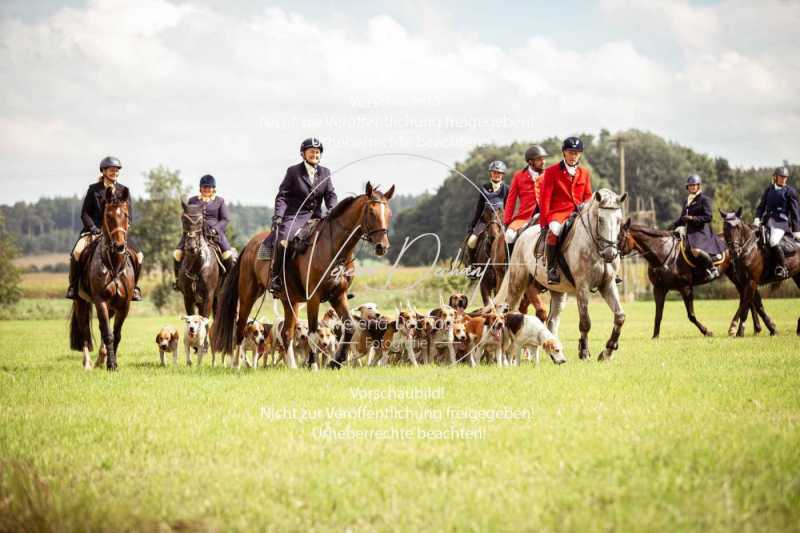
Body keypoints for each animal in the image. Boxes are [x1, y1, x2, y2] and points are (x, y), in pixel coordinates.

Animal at [70, 188, 138, 370]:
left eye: (126, 215)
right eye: (108, 216)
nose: (119, 246)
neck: (113, 264)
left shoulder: (124, 305)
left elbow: (116, 334)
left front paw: (110, 361)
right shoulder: (101, 301)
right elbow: (108, 334)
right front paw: (112, 365)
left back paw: (101, 358)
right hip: (81, 301)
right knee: (84, 328)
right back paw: (88, 363)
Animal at [214, 181, 396, 368]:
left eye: (389, 214)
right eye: (371, 212)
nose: (383, 246)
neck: (334, 249)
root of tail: (250, 244)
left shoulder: (339, 295)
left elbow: (349, 326)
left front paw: (336, 362)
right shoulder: (314, 297)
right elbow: (314, 334)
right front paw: (314, 365)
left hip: (289, 300)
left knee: (286, 333)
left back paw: (292, 366)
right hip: (248, 295)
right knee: (241, 327)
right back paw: (236, 364)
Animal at [616, 219, 772, 336]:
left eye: (620, 237)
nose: (611, 254)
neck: (664, 254)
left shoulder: (685, 288)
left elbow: (691, 315)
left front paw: (707, 332)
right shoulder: (659, 289)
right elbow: (658, 315)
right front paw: (655, 336)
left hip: (739, 276)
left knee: (747, 298)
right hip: (737, 277)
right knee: (749, 298)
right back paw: (756, 329)